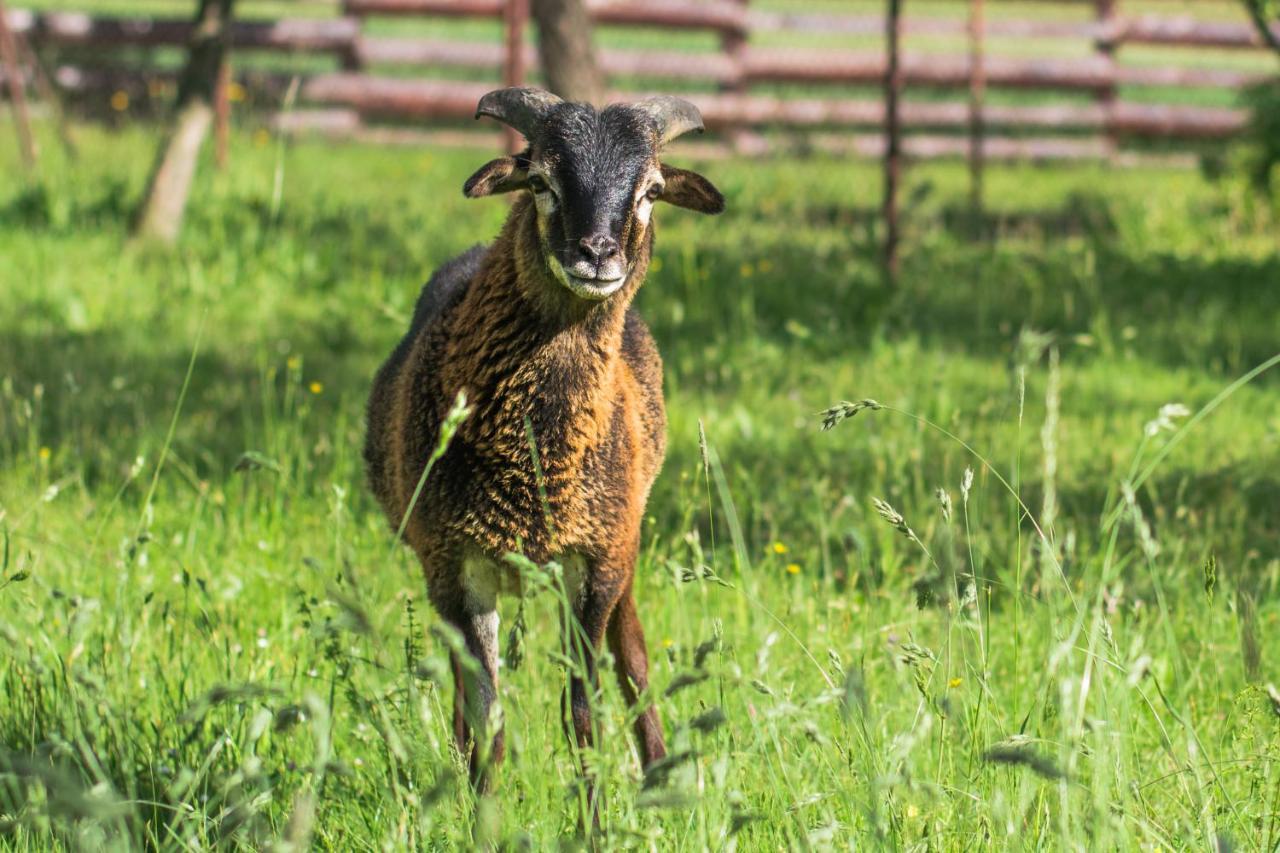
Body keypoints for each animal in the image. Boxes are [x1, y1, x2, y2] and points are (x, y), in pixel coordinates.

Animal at [366, 87, 727, 799]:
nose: (597, 255)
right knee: (465, 694)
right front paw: (481, 811)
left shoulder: (596, 561)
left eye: (651, 190)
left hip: (623, 544)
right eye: (540, 181)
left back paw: (662, 777)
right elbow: (488, 716)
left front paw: (593, 812)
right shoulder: (454, 565)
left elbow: (583, 709)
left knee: (633, 657)